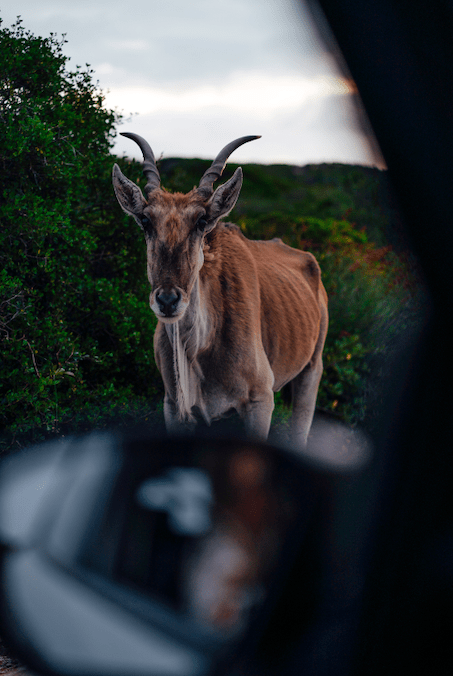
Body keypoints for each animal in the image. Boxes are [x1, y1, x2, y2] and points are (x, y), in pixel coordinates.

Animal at [111, 134, 326, 446]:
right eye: (145, 220)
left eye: (202, 221)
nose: (167, 300)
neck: (200, 348)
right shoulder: (175, 408)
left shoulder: (260, 402)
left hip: (311, 369)